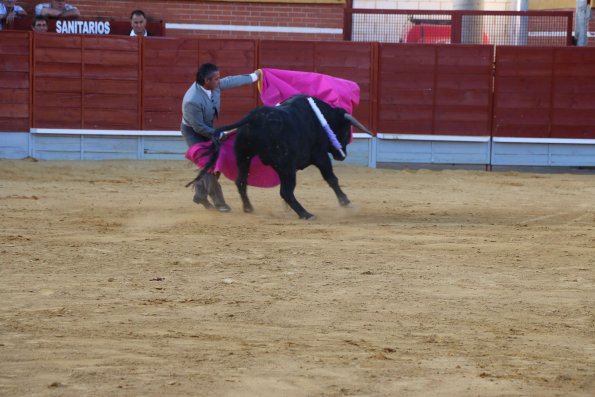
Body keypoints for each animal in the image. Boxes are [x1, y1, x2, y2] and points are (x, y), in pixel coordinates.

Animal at [193, 95, 372, 220]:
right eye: (346, 130)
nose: (342, 156)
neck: (320, 118)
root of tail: (254, 117)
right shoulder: (320, 156)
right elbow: (331, 178)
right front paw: (345, 202)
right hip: (285, 165)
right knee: (285, 191)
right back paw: (306, 214)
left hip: (244, 156)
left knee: (241, 181)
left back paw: (249, 208)